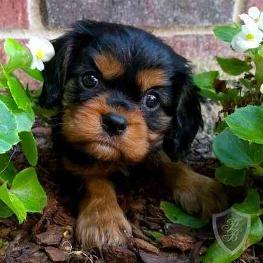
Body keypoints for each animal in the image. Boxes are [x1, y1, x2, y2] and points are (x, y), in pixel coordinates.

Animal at [40, 21, 228, 250]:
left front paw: (203, 187)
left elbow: (172, 163)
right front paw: (104, 221)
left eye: (152, 99)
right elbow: (94, 179)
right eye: (90, 79)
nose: (114, 122)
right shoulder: (72, 156)